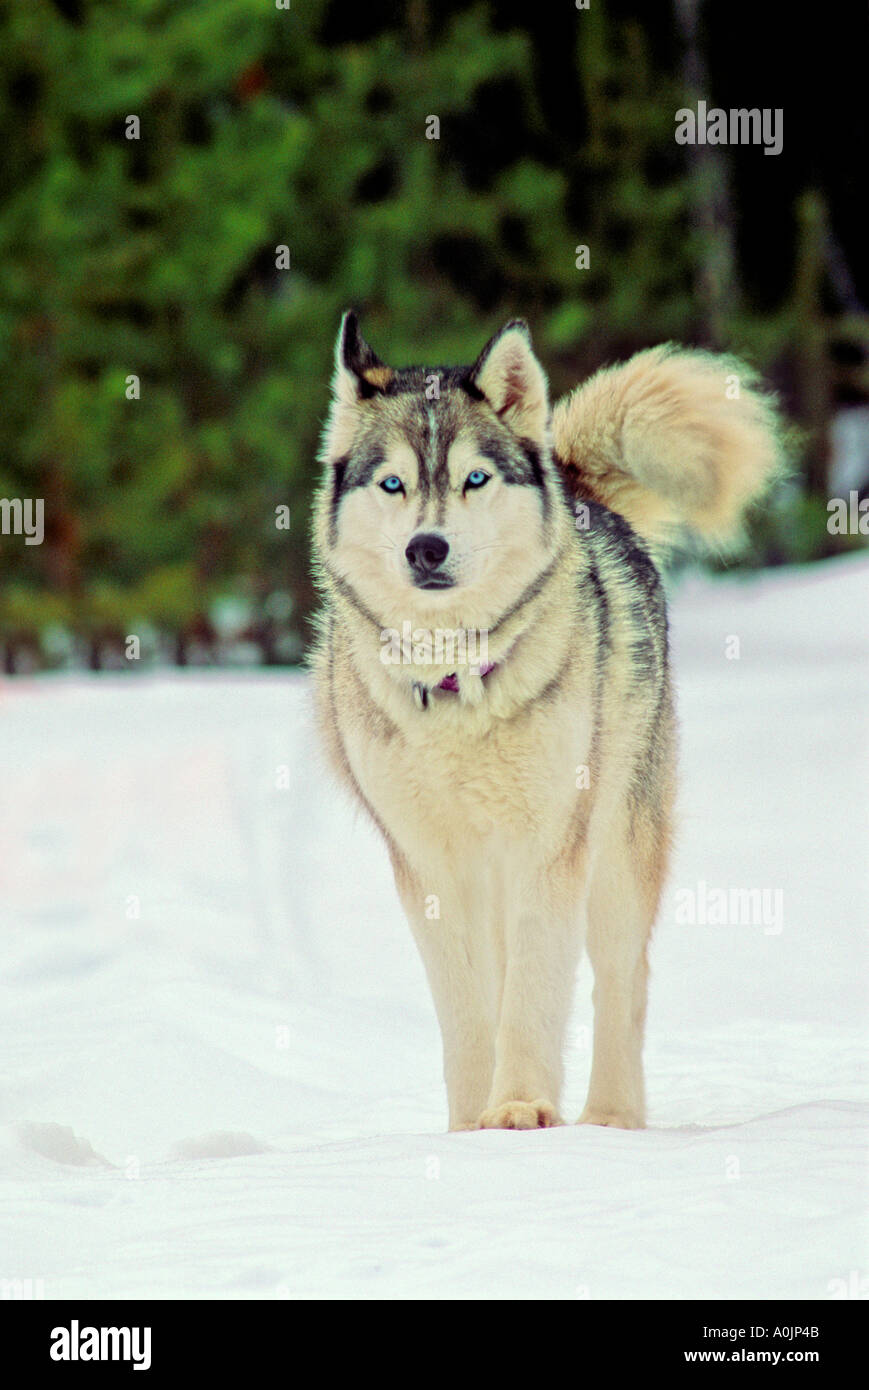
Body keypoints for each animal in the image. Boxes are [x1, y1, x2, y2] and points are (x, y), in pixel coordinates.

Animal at [310, 319, 778, 1134]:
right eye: (392, 483)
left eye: (474, 479)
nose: (426, 548)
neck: (457, 679)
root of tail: (577, 487)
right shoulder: (427, 866)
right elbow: (468, 1010)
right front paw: (471, 1125)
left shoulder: (549, 848)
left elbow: (533, 995)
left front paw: (522, 1108)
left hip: (618, 855)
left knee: (621, 983)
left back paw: (610, 1118)